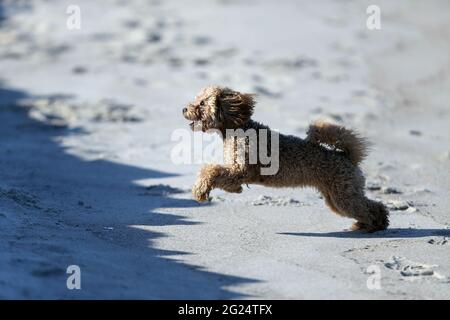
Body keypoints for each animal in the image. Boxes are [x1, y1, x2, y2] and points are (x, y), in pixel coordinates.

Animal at [181, 85, 388, 232]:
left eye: (202, 103)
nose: (184, 109)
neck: (238, 129)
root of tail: (347, 156)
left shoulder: (242, 169)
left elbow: (211, 170)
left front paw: (200, 191)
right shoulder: (236, 171)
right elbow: (221, 175)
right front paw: (234, 189)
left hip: (343, 195)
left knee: (370, 208)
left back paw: (373, 225)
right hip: (335, 196)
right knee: (372, 206)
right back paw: (368, 225)